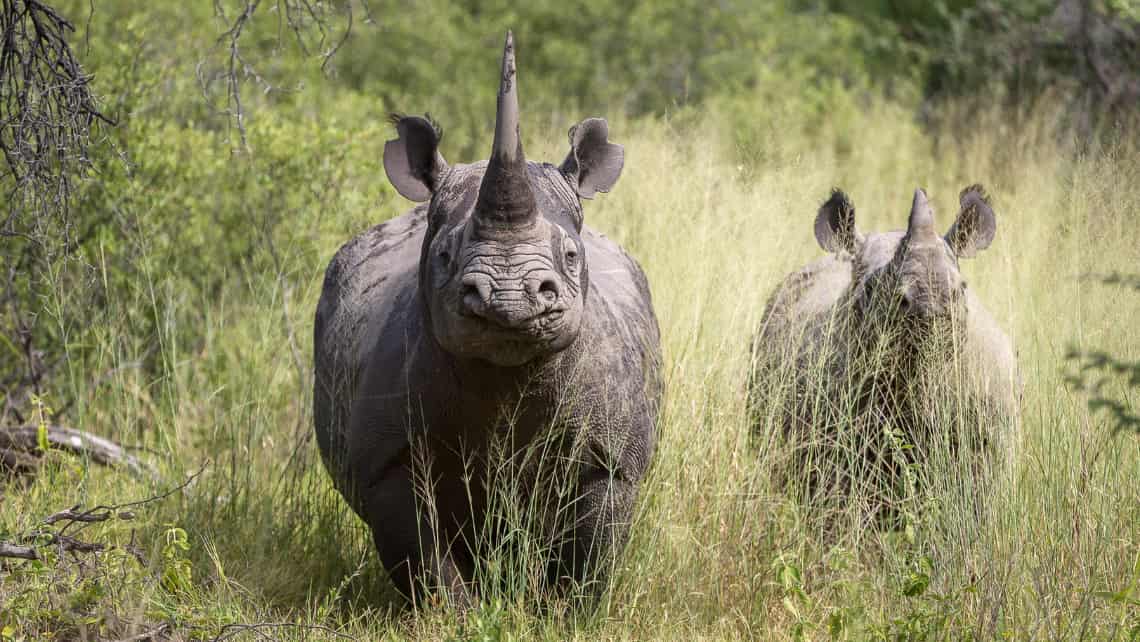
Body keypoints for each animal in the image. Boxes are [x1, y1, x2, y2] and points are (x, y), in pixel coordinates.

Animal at [316, 33, 665, 606]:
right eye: (443, 256)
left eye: (572, 256)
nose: (508, 298)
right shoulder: (387, 459)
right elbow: (424, 561)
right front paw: (453, 615)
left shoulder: (611, 459)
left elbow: (589, 556)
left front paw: (562, 613)